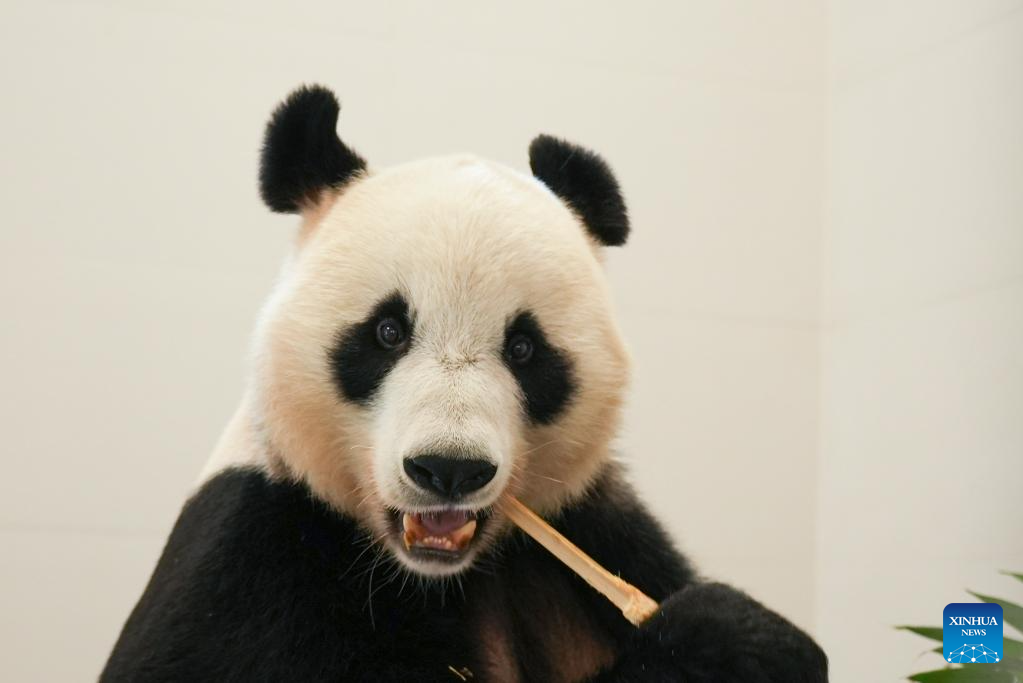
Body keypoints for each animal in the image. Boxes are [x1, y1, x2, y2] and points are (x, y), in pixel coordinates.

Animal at [102, 85, 827, 683]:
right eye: (387, 332)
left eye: (525, 348)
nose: (448, 470)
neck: (430, 575)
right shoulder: (253, 561)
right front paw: (721, 639)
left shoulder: (590, 527)